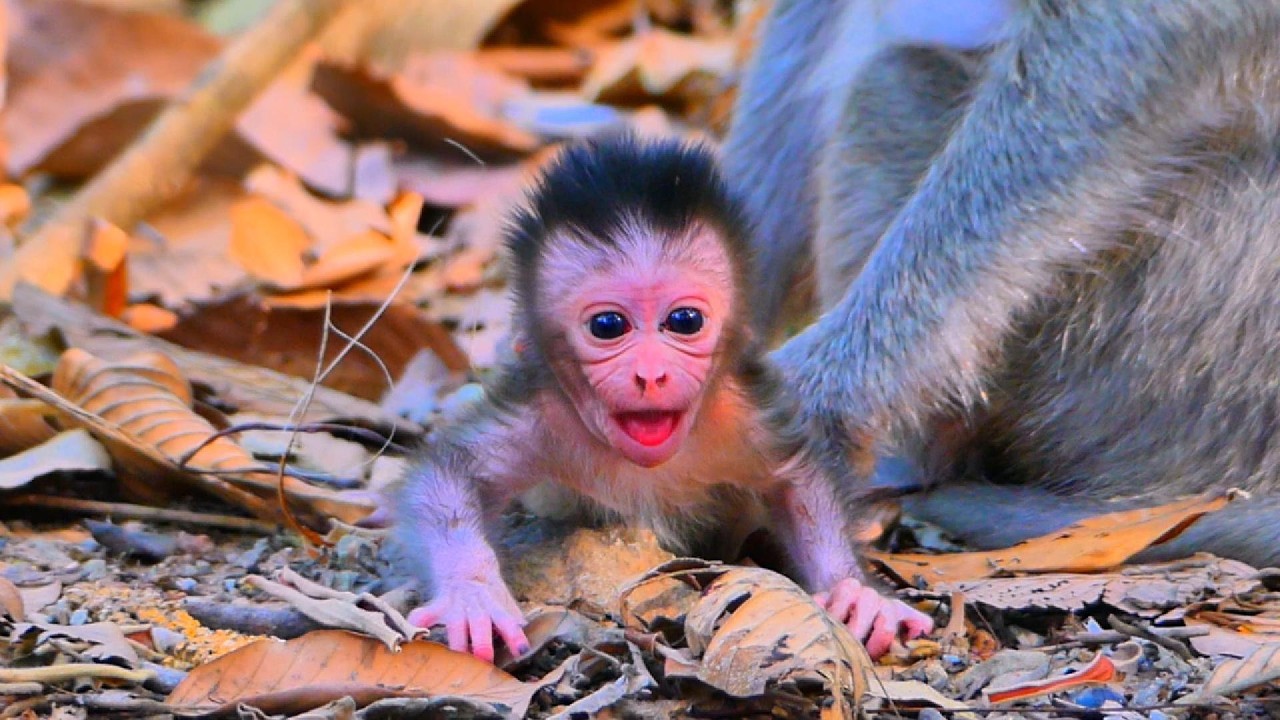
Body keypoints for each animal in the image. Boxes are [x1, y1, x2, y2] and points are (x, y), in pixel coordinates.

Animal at [389, 135, 933, 663]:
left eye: (684, 321)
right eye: (608, 326)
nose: (651, 374)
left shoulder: (740, 414)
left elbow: (799, 478)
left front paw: (856, 592)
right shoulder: (543, 414)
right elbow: (452, 475)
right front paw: (472, 593)